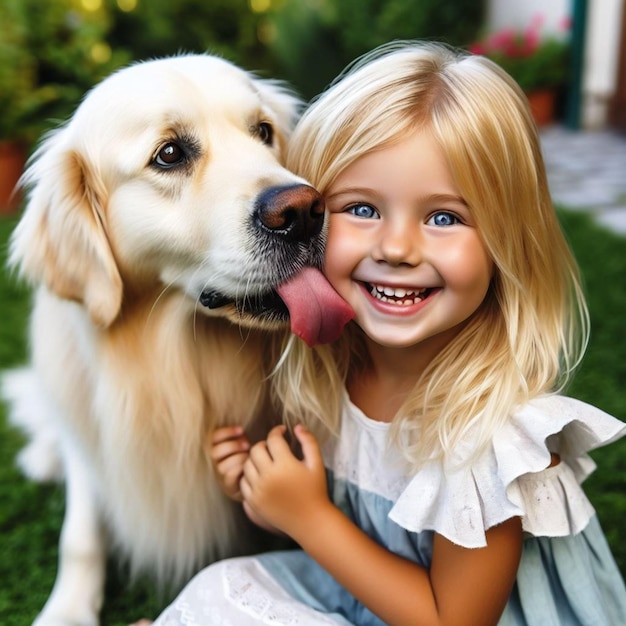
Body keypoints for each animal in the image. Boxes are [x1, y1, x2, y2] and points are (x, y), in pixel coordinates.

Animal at [1, 54, 352, 624]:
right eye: (168, 154)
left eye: (264, 132)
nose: (303, 210)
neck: (179, 360)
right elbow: (80, 534)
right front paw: (67, 609)